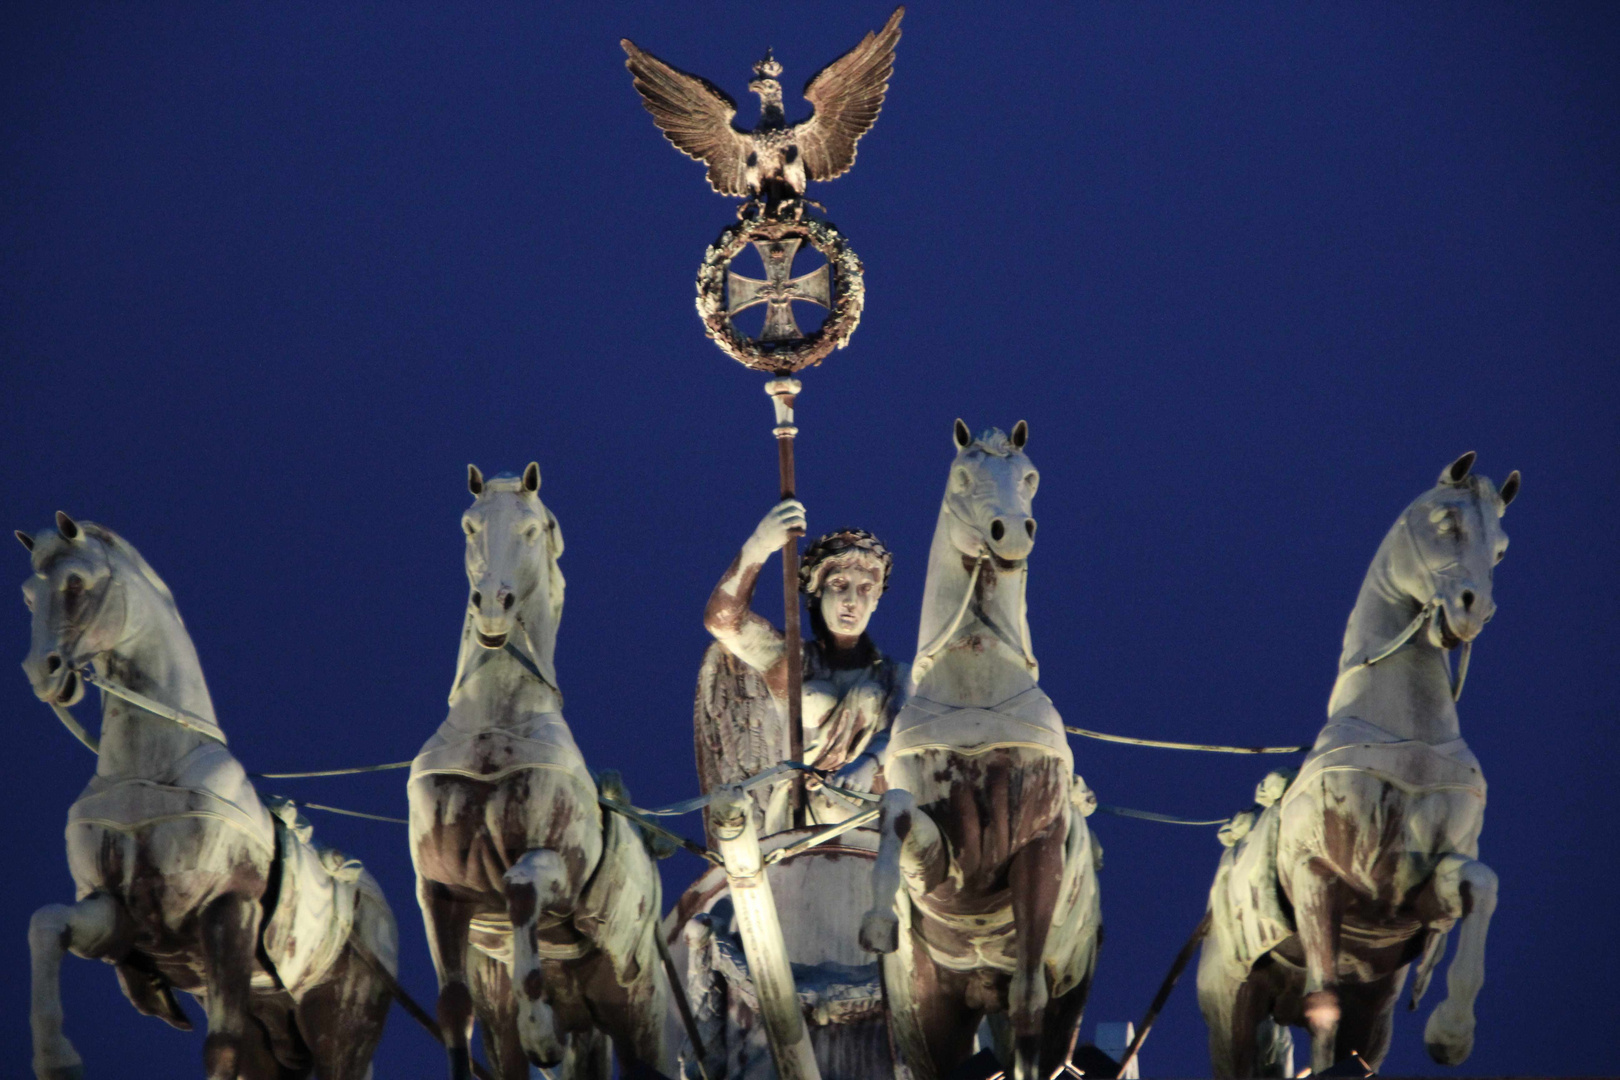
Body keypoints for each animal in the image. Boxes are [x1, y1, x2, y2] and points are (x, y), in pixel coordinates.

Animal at [21, 514, 398, 1080]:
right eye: (27, 593)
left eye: (75, 583)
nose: (40, 671)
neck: (151, 766)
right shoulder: (116, 916)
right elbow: (45, 924)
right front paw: (57, 1058)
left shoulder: (228, 912)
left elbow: (221, 1046)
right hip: (276, 1020)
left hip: (342, 1026)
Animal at [411, 466, 677, 1080]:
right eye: (469, 525)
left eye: (531, 529)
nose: (492, 604)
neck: (493, 727)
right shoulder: (437, 887)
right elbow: (452, 1006)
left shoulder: (560, 868)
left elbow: (518, 887)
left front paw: (541, 1031)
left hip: (640, 1015)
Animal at [861, 420, 1101, 1080]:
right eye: (963, 476)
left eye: (1031, 475)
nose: (1010, 533)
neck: (975, 683)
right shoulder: (942, 860)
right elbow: (896, 813)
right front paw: (879, 920)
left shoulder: (1039, 845)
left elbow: (1028, 1000)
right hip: (929, 1011)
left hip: (1068, 1001)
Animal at [1205, 453, 1516, 1075]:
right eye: (1446, 521)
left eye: (1501, 548)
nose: (1475, 608)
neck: (1404, 732)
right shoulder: (1317, 877)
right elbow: (1323, 999)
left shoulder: (1412, 898)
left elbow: (1482, 882)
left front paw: (1451, 1031)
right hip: (1233, 1010)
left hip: (1374, 1008)